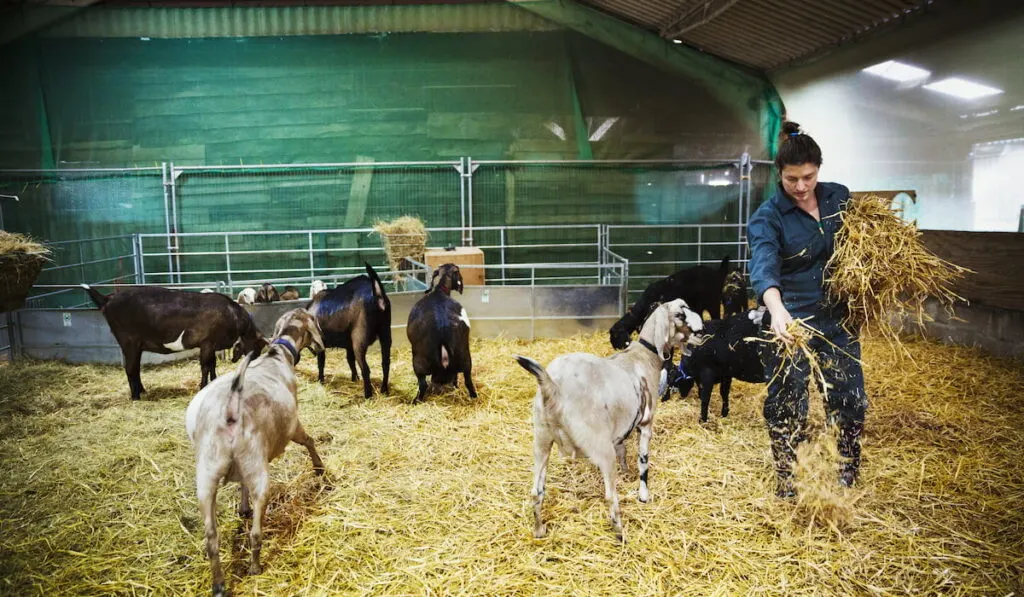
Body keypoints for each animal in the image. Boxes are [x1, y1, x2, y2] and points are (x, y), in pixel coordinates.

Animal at [83, 284, 266, 401]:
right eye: (257, 347)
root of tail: (107, 299)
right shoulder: (207, 343)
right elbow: (205, 366)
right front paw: (203, 386)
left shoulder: (211, 345)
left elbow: (212, 365)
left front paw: (213, 382)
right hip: (129, 341)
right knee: (130, 369)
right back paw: (136, 397)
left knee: (135, 369)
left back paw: (142, 391)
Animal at [184, 311, 325, 593]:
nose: (319, 349)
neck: (278, 355)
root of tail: (230, 409)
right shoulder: (293, 426)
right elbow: (309, 441)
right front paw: (319, 468)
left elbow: (242, 486)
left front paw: (242, 508)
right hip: (258, 468)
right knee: (256, 533)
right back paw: (255, 566)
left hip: (207, 476)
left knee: (211, 538)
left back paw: (219, 585)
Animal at [305, 264, 389, 399]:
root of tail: (378, 297)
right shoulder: (349, 344)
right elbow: (350, 360)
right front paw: (354, 378)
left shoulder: (320, 342)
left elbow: (321, 362)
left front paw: (321, 380)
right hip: (385, 333)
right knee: (385, 363)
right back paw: (384, 390)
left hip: (359, 339)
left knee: (366, 368)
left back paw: (367, 394)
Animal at [403, 264, 475, 403]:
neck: (440, 291)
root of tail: (442, 328)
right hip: (465, 358)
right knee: (467, 381)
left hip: (419, 363)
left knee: (423, 384)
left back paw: (416, 401)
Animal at [512, 299, 704, 540]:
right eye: (679, 314)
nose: (703, 332)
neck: (643, 357)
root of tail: (552, 386)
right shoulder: (646, 423)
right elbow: (643, 462)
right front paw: (644, 495)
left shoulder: (621, 427)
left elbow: (623, 449)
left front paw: (626, 471)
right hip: (599, 445)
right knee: (610, 496)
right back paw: (620, 533)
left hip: (541, 439)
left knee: (536, 491)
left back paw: (539, 531)